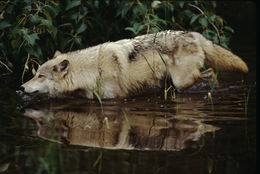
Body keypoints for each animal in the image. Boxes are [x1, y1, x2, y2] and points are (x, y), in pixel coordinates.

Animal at [18, 30, 248, 98]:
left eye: (40, 76)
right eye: (35, 73)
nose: (20, 87)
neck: (91, 70)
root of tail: (194, 34)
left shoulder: (115, 99)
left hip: (181, 82)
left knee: (211, 75)